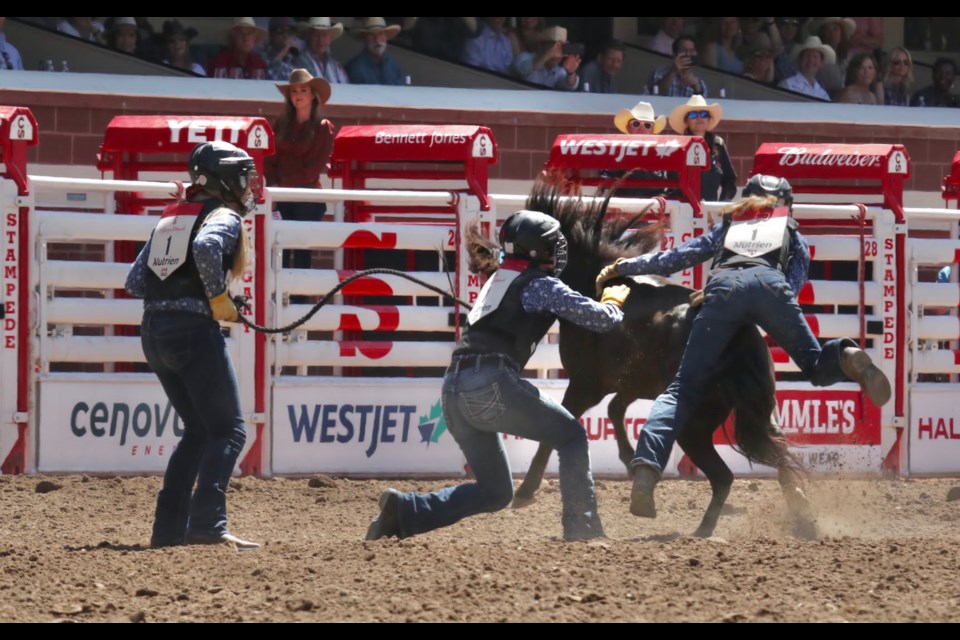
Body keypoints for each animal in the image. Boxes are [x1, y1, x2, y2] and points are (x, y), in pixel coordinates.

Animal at [468, 172, 812, 536]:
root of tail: (740, 335)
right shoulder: (630, 383)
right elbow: (616, 410)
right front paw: (628, 460)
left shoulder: (586, 385)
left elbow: (563, 425)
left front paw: (526, 490)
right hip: (747, 411)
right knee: (764, 458)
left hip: (694, 424)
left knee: (726, 474)